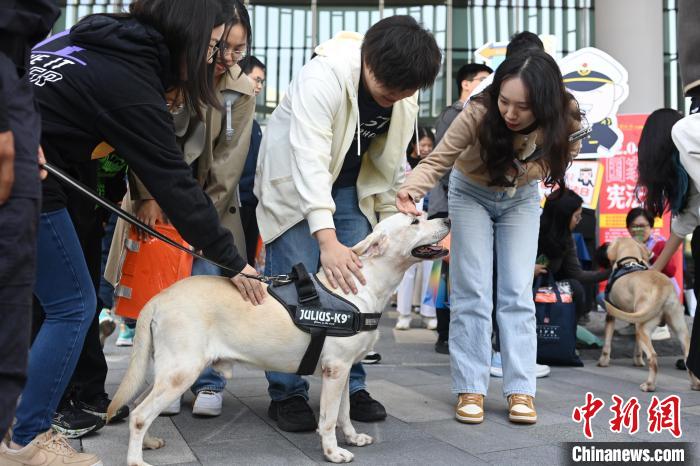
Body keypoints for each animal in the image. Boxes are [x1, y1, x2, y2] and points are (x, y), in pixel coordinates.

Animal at [107, 213, 452, 464]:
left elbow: (344, 412)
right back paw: (136, 461)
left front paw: (353, 437)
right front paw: (333, 452)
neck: (365, 286)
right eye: (415, 221)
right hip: (182, 370)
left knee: (138, 408)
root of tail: (160, 298)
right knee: (139, 415)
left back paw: (149, 443)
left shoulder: (344, 370)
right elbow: (328, 419)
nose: (447, 218)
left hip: (167, 371)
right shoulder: (335, 369)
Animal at [596, 237, 700, 394]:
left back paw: (649, 385)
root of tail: (662, 288)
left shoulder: (611, 315)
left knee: (653, 357)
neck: (629, 261)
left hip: (644, 328)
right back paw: (695, 384)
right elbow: (637, 346)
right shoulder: (635, 318)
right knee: (688, 355)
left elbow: (607, 343)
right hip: (678, 326)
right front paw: (638, 361)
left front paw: (603, 362)